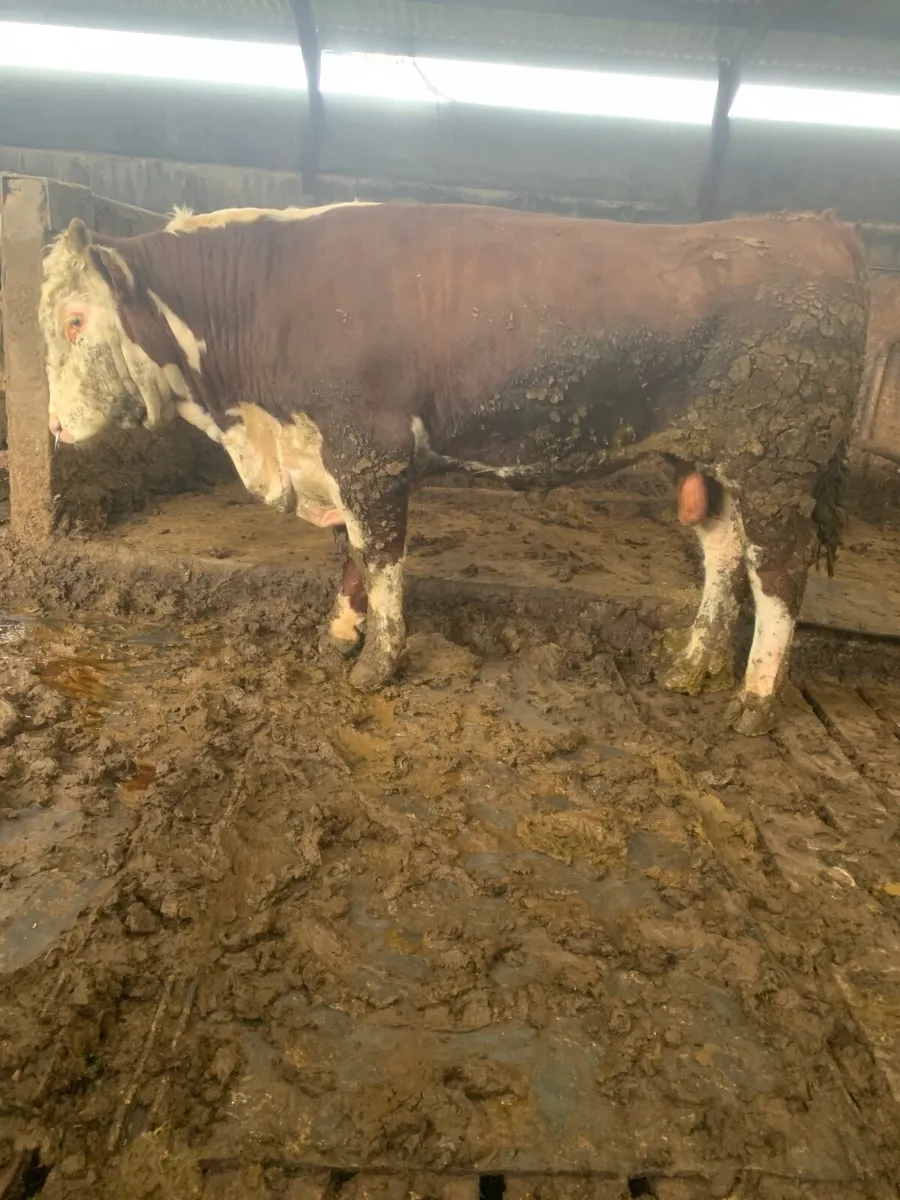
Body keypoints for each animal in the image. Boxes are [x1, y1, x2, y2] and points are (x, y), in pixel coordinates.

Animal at [40, 202, 868, 736]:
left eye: (76, 321)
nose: (52, 425)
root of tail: (813, 227)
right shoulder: (336, 458)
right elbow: (347, 553)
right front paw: (338, 635)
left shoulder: (368, 452)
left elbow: (379, 559)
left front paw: (377, 662)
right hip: (711, 461)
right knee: (725, 554)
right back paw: (693, 665)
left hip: (777, 462)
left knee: (779, 572)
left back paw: (754, 701)